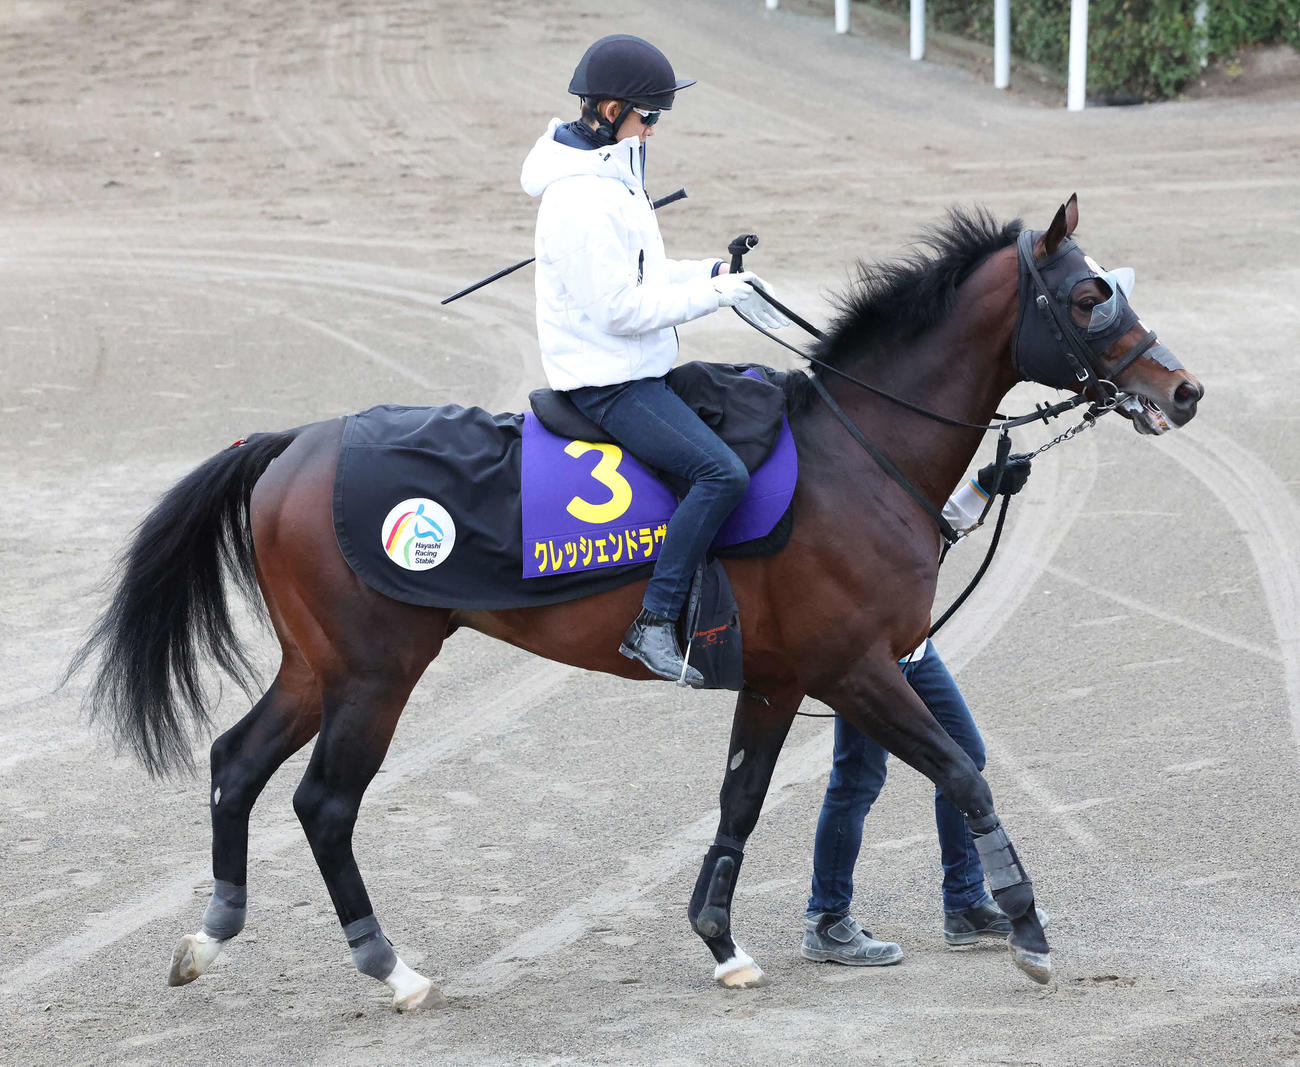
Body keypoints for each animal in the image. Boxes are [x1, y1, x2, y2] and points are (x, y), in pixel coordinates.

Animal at [70, 195, 1203, 1011]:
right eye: (1090, 295)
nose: (1184, 390)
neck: (856, 452)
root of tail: (290, 443)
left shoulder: (780, 679)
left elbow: (741, 799)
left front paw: (721, 939)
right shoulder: (858, 668)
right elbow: (964, 773)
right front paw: (1029, 932)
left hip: (317, 666)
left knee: (236, 761)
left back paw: (210, 933)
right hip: (375, 671)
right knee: (323, 803)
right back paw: (390, 966)